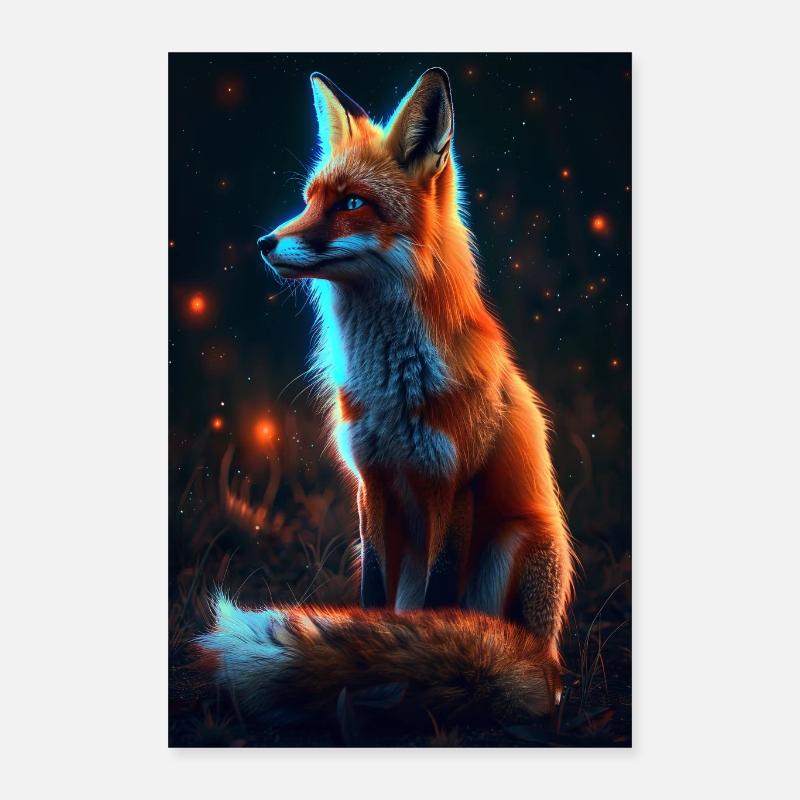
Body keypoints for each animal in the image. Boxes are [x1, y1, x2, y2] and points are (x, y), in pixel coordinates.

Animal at [198, 68, 575, 727]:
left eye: (352, 204)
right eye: (309, 199)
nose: (265, 242)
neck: (393, 389)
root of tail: (548, 658)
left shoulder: (453, 486)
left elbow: (438, 605)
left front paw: (408, 670)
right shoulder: (370, 483)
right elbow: (374, 602)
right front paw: (377, 665)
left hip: (517, 540)